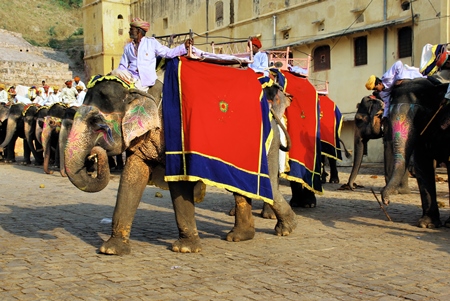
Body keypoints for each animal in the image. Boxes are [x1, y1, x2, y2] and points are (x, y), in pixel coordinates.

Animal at [63, 58, 296, 253]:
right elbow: (133, 175)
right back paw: (239, 236)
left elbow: (178, 183)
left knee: (268, 186)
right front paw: (111, 249)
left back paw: (286, 229)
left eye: (96, 122)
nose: (94, 154)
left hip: (268, 145)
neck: (141, 90)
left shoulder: (176, 134)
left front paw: (184, 249)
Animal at [380, 77, 450, 227]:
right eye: (389, 113)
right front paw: (427, 224)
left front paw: (447, 224)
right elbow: (422, 163)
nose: (386, 201)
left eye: (420, 114)